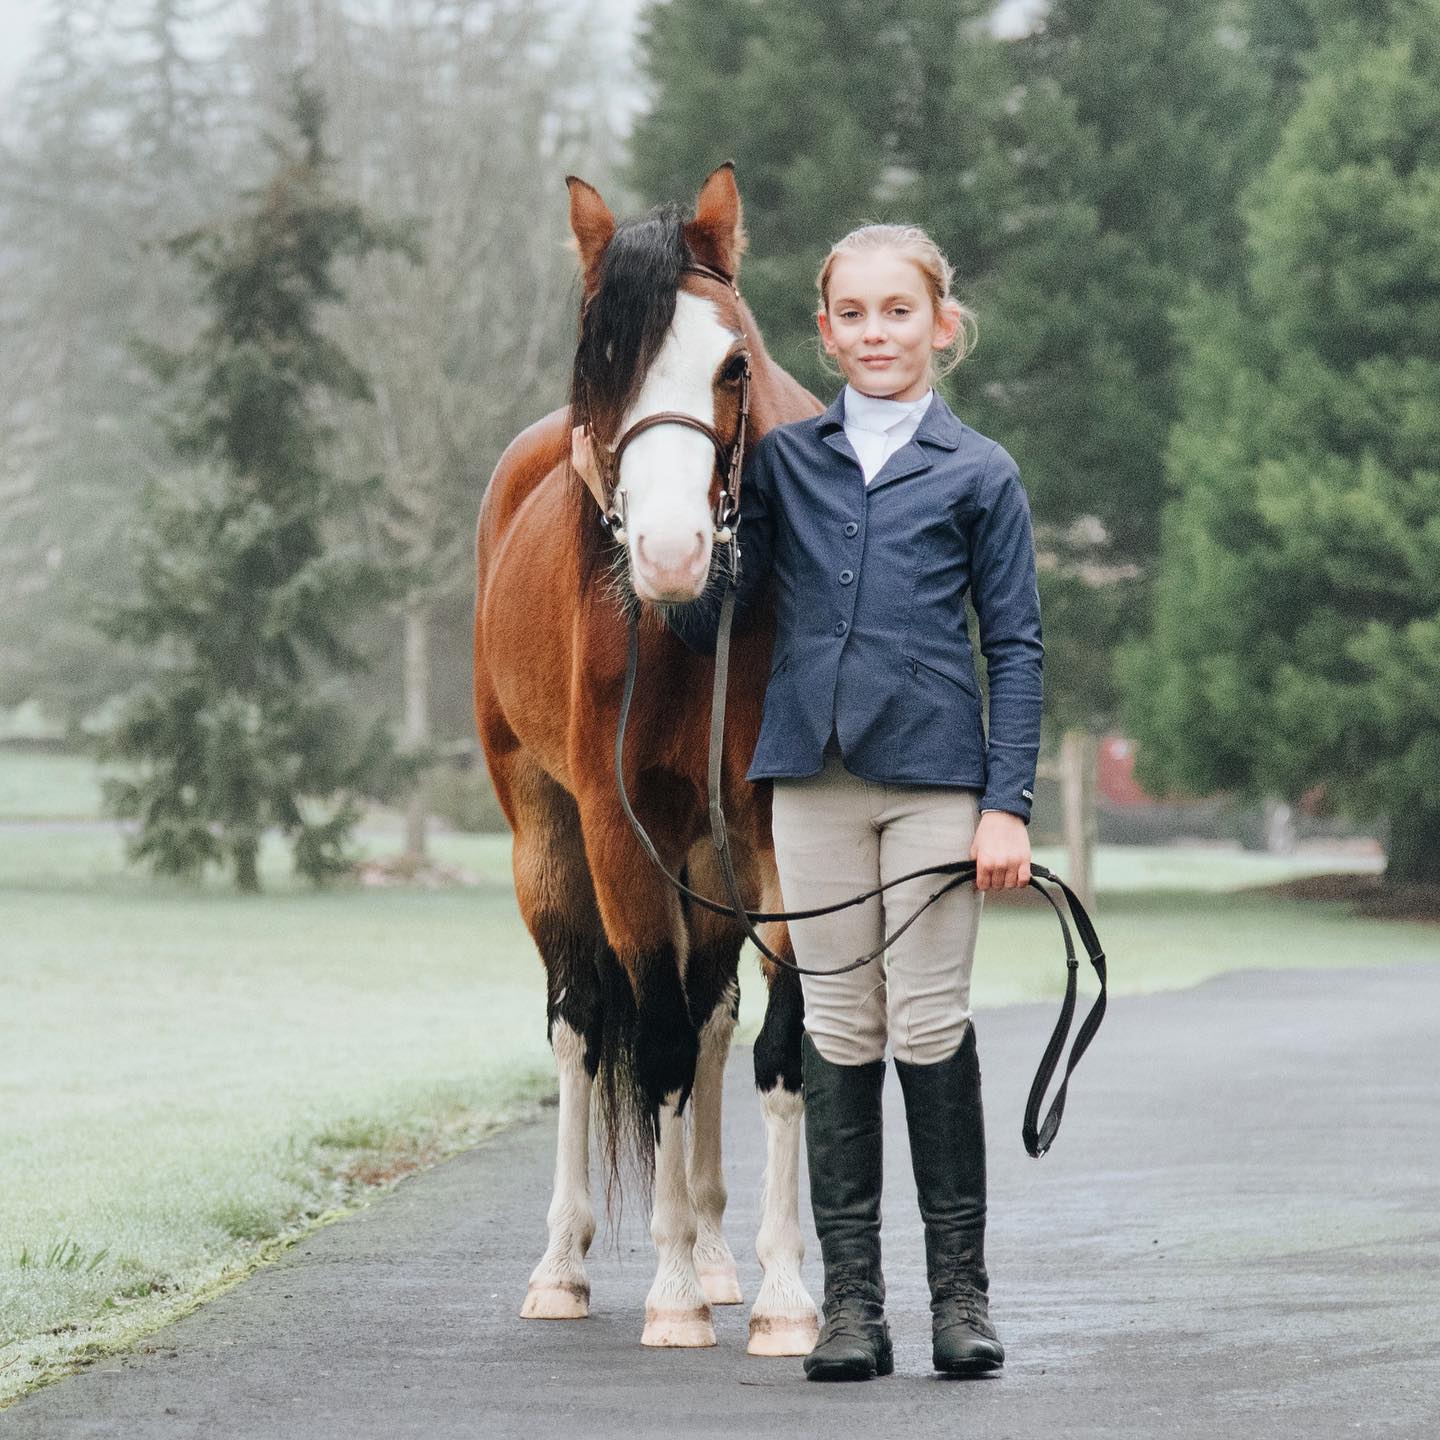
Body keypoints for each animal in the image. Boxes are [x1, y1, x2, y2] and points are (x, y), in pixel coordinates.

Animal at [472, 162, 824, 1353]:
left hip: (708, 862)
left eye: (733, 364)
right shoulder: (619, 836)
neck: (694, 626)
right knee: (587, 1023)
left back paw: (712, 1249)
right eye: (600, 358)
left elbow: (775, 1050)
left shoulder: (774, 839)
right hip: (548, 840)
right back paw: (567, 1266)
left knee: (711, 1019)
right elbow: (653, 1039)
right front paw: (668, 1294)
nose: (671, 553)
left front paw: (781, 1295)